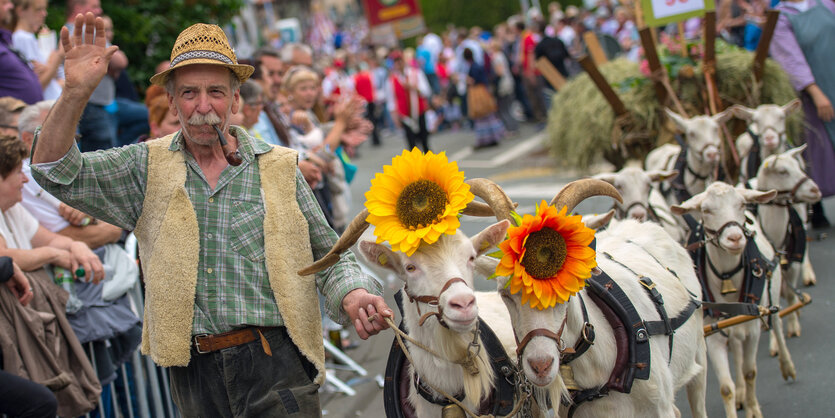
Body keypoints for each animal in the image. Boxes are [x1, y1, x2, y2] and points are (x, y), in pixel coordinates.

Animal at [672, 181, 796, 416]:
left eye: (741, 204)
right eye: (706, 210)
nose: (735, 238)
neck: (727, 277)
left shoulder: (753, 327)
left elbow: (750, 372)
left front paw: (753, 410)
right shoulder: (712, 334)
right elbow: (725, 387)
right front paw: (736, 395)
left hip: (771, 296)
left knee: (776, 322)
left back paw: (787, 366)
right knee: (736, 348)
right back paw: (740, 394)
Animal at [752, 145, 824, 342]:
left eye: (798, 167)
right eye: (782, 171)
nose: (815, 190)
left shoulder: (791, 266)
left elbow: (790, 297)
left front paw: (792, 326)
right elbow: (772, 306)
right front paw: (774, 342)